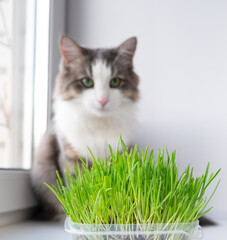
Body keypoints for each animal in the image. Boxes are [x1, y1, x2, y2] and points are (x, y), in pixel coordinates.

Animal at [30, 35, 140, 219]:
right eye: (87, 82)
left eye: (115, 82)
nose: (103, 100)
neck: (99, 125)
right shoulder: (71, 156)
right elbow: (80, 189)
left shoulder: (120, 153)